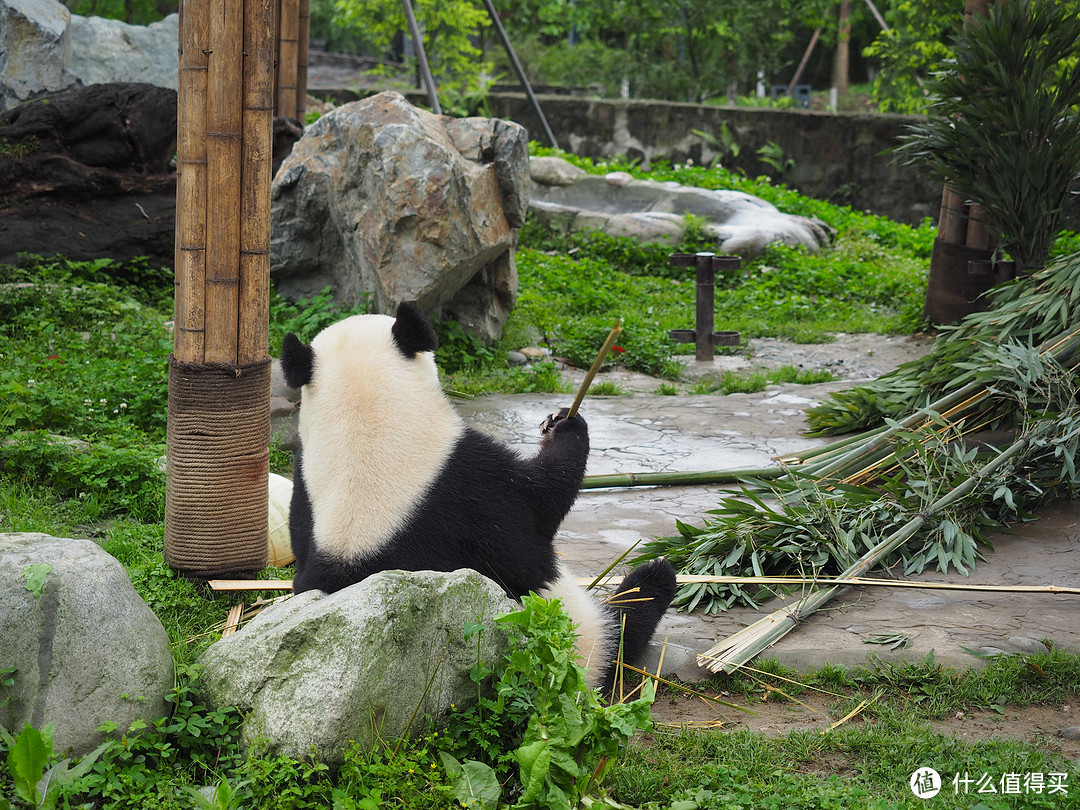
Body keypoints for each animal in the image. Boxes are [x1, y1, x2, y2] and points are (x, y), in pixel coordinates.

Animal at [282, 302, 678, 695]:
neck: (362, 437)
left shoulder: (305, 505)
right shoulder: (480, 491)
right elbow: (543, 499)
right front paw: (565, 425)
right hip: (579, 642)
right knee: (619, 628)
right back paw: (654, 576)